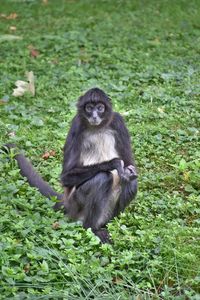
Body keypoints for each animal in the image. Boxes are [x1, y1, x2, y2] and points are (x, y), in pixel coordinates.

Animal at [3, 88, 138, 243]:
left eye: (100, 108)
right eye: (89, 108)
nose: (94, 116)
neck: (97, 128)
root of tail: (67, 202)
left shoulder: (118, 121)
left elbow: (129, 165)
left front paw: (127, 172)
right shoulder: (76, 125)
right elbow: (66, 176)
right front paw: (113, 163)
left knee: (132, 181)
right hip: (76, 203)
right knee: (103, 178)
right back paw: (93, 229)